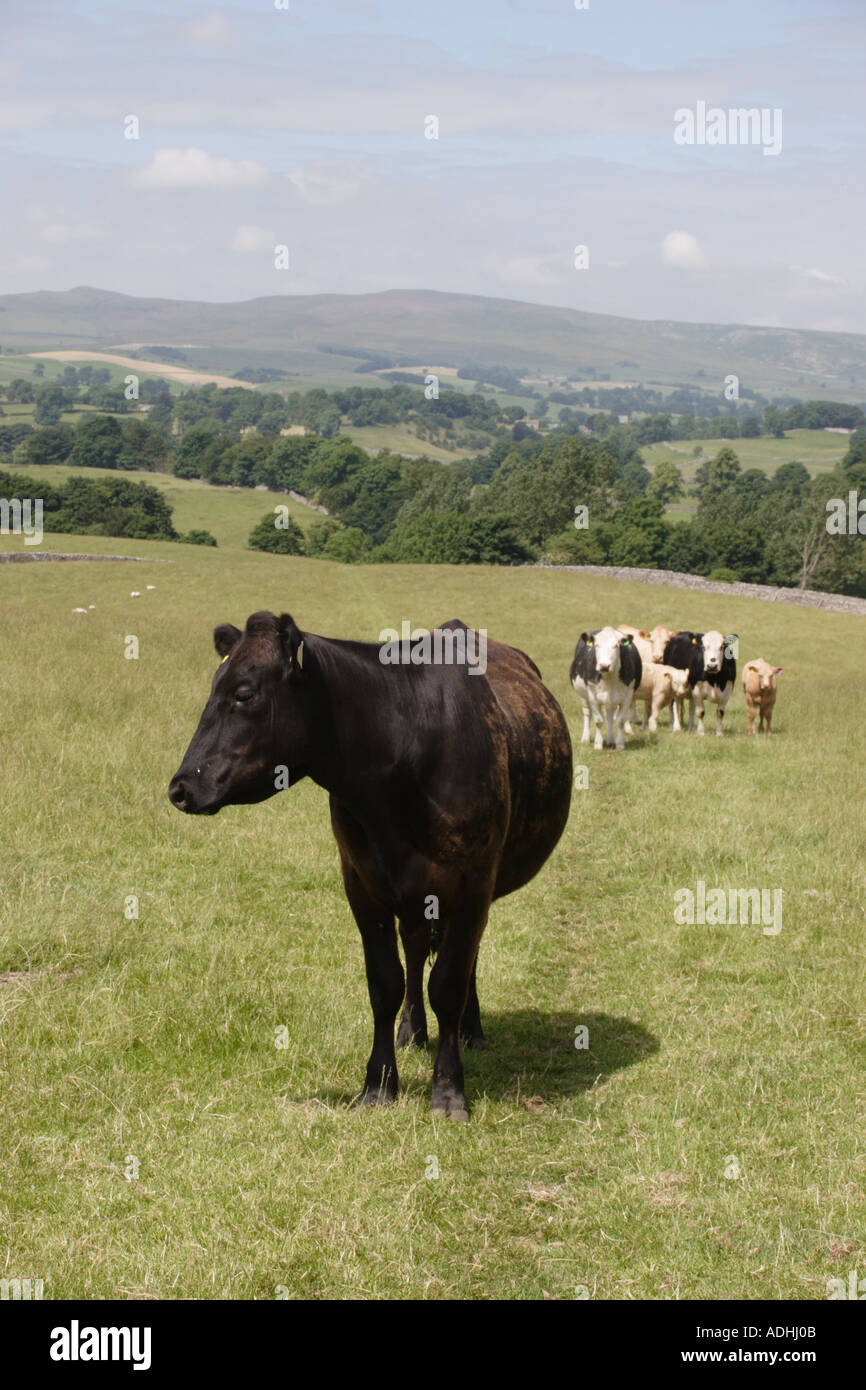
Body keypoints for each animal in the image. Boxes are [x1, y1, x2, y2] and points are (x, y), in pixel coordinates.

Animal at [168, 612, 572, 1123]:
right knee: (416, 952)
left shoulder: (471, 885)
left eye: (244, 693)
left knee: (465, 960)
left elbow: (449, 984)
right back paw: (413, 1030)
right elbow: (385, 982)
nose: (181, 787)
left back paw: (471, 1029)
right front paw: (379, 1084)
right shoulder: (362, 885)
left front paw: (448, 1092)